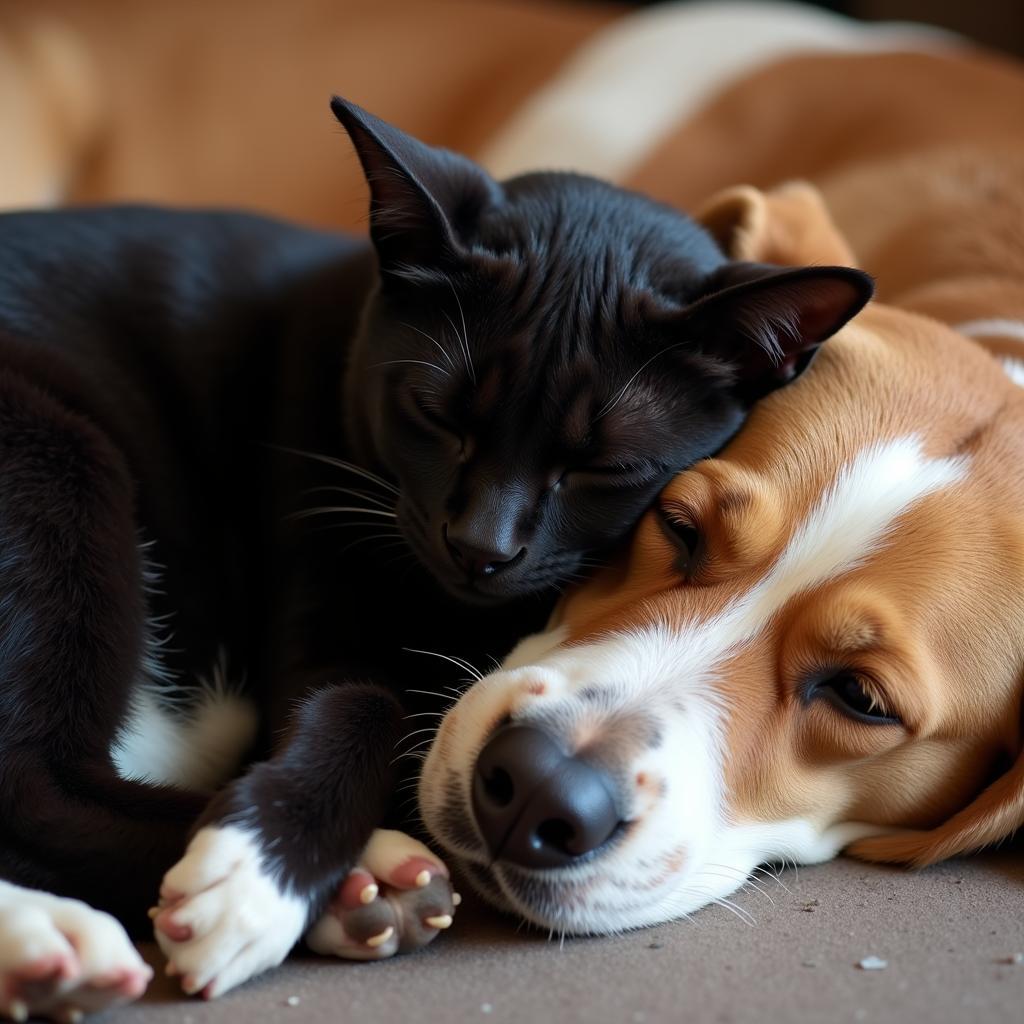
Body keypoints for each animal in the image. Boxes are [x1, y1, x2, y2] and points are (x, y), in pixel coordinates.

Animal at [0, 97, 872, 1015]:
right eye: (438, 415)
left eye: (603, 467)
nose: (479, 547)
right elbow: (358, 695)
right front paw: (255, 877)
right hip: (59, 452)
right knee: (34, 789)